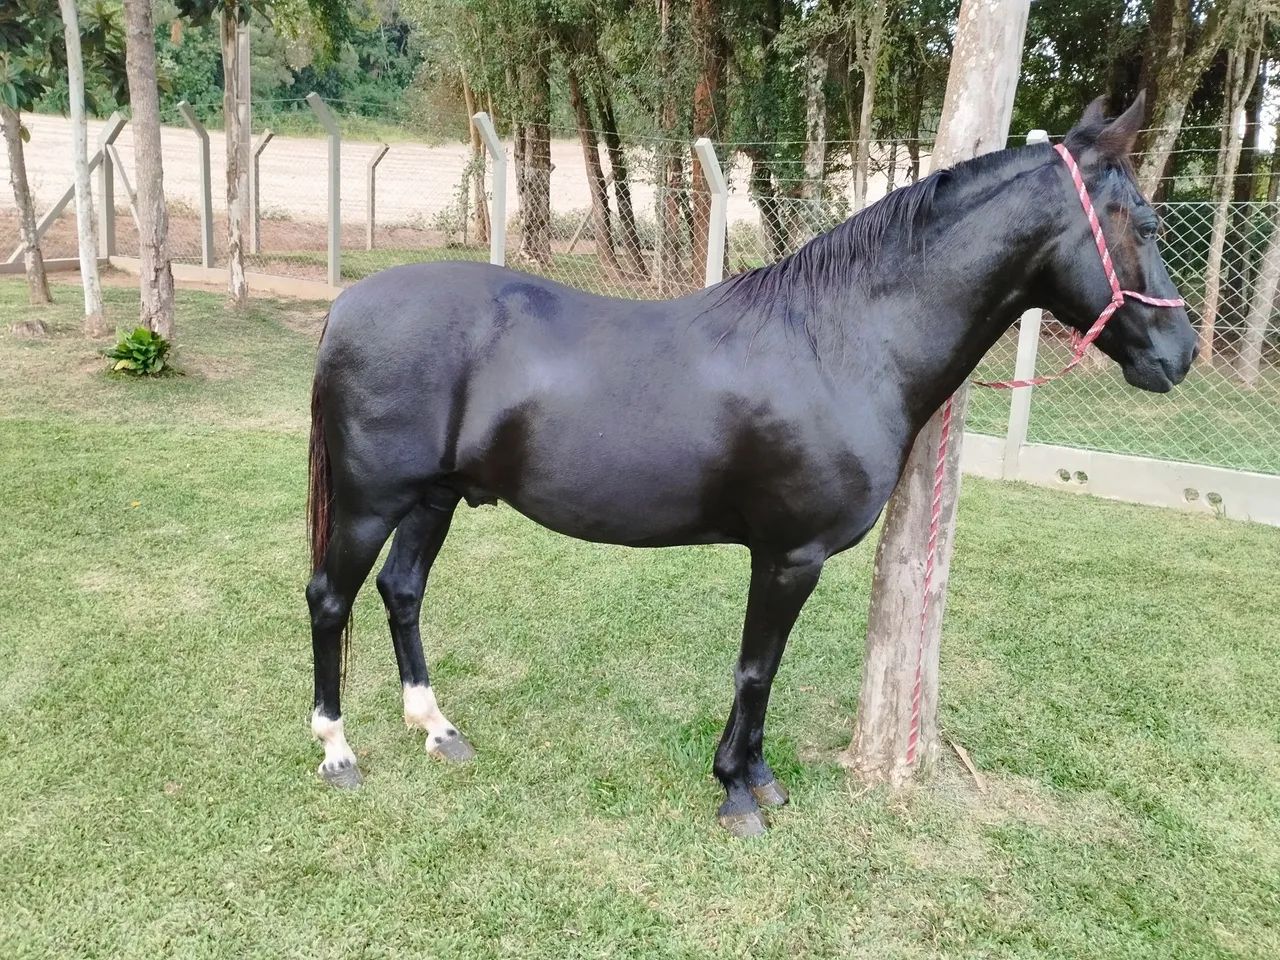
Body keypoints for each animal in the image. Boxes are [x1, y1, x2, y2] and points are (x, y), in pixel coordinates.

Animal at [304, 95, 1195, 836]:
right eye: (1147, 224)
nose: (1180, 352)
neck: (842, 340)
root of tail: (347, 307)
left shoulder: (781, 556)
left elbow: (761, 671)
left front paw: (757, 775)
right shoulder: (789, 556)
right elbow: (757, 669)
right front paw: (738, 790)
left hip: (435, 499)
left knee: (401, 591)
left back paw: (437, 729)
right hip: (370, 503)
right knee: (329, 600)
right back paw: (337, 750)